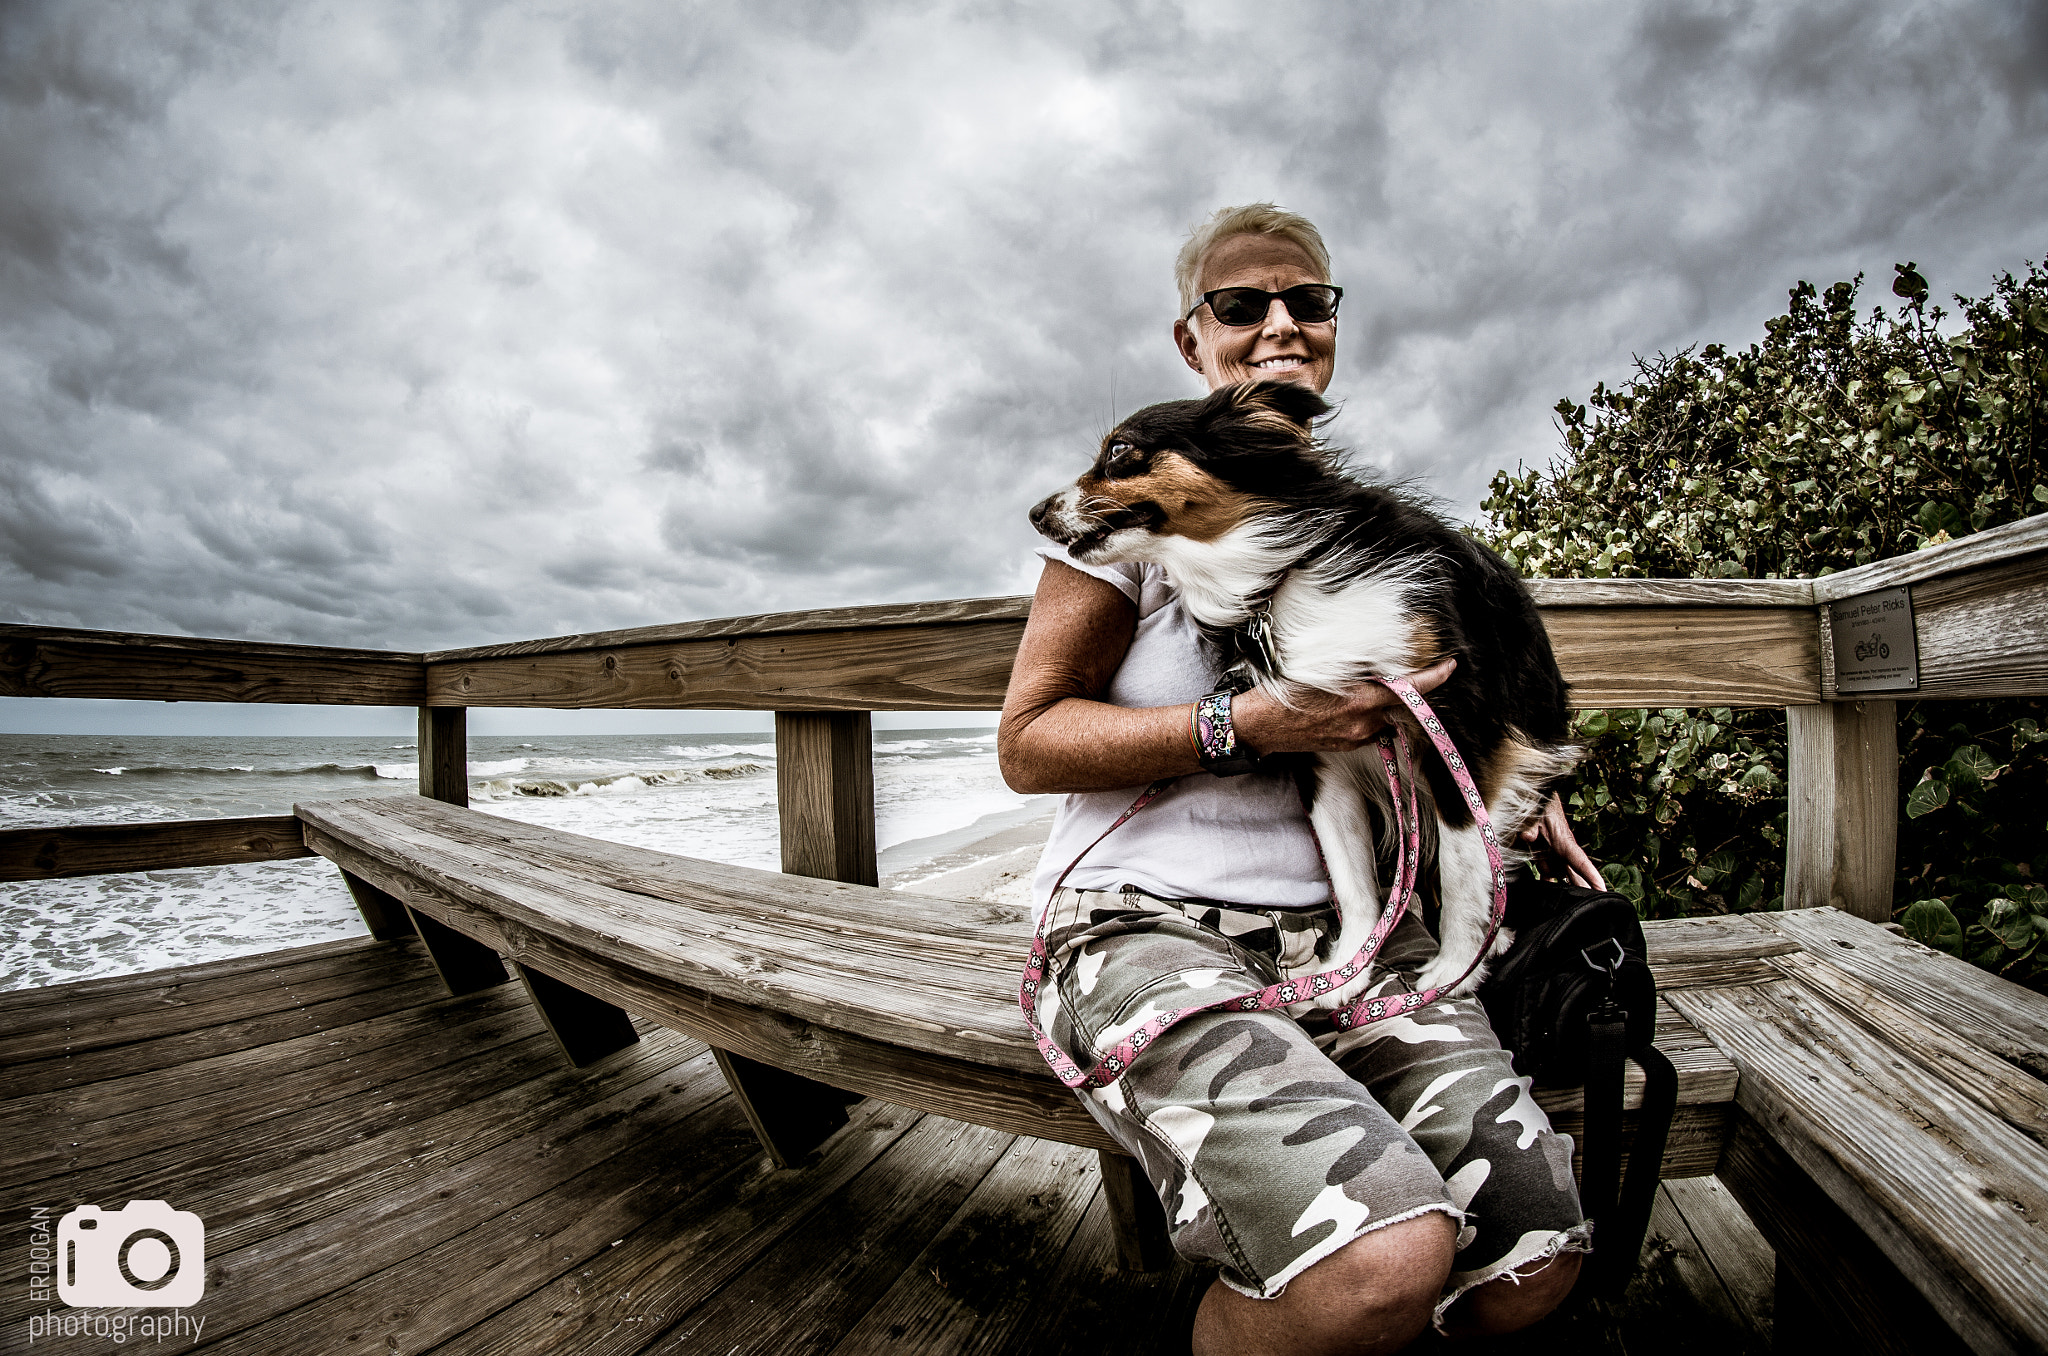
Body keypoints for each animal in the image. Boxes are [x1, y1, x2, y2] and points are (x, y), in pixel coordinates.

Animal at [1032, 378, 1572, 999]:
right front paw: (1349, 970)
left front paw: (1456, 970)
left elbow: (1463, 864)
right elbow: (1352, 878)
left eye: (1119, 451)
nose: (1035, 514)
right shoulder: (1320, 752)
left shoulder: (1456, 730)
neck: (1277, 580)